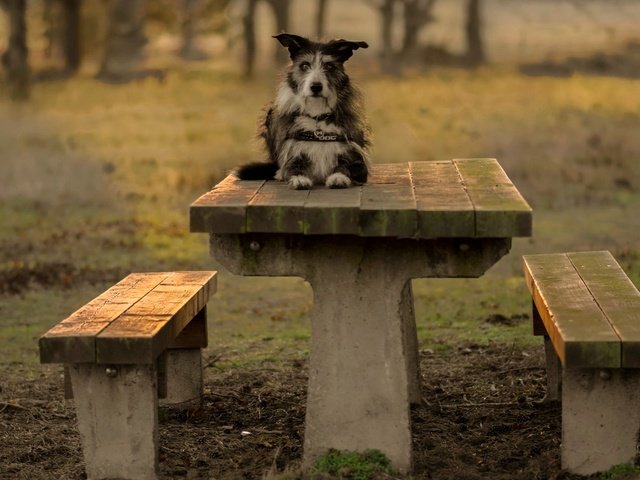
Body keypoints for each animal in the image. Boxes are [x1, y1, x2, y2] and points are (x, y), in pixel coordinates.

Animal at [235, 33, 370, 189]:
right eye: (305, 65)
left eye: (329, 66)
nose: (316, 86)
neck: (317, 115)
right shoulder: (292, 151)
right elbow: (291, 166)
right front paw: (298, 177)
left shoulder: (358, 161)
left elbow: (347, 166)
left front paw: (338, 177)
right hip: (270, 113)